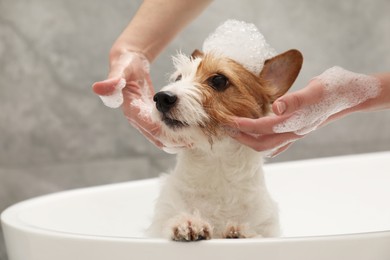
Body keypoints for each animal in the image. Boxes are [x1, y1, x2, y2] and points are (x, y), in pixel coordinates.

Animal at [148, 47, 304, 241]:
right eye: (178, 78)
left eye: (218, 80)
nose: (161, 98)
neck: (216, 165)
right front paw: (188, 224)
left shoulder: (266, 226)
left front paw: (241, 232)